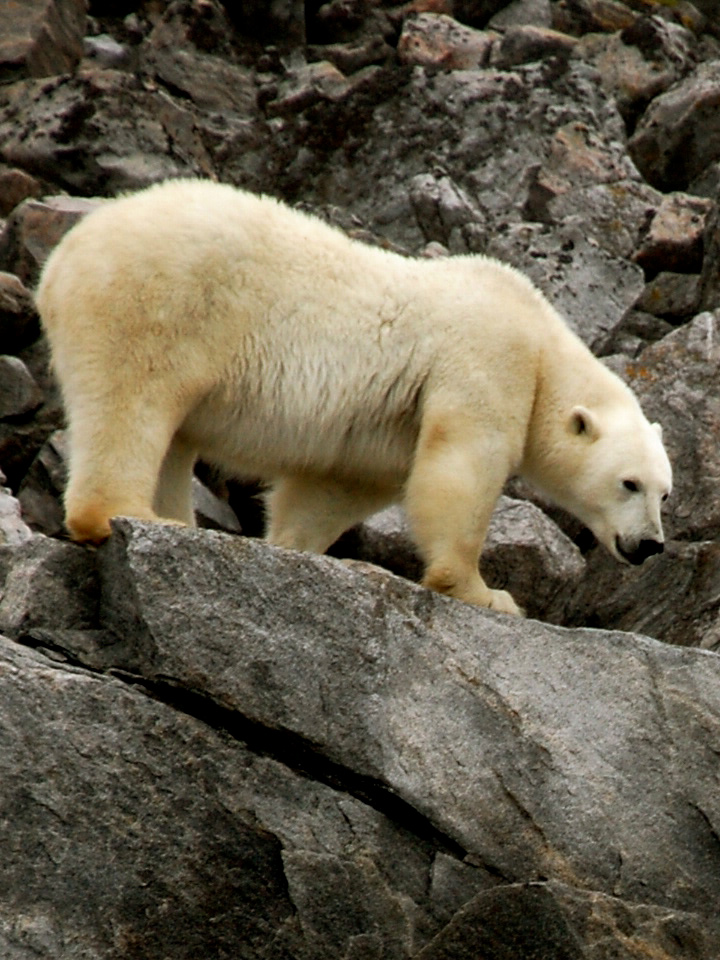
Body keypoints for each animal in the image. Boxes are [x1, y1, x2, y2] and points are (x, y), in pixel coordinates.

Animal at [36, 178, 672, 616]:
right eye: (629, 483)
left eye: (665, 492)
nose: (650, 546)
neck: (543, 341)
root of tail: (61, 260)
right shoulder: (486, 354)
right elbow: (464, 464)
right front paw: (487, 592)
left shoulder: (386, 431)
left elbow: (335, 487)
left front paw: (293, 548)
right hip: (162, 302)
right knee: (135, 401)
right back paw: (127, 514)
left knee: (173, 437)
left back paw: (178, 523)